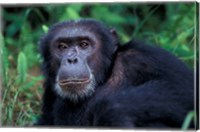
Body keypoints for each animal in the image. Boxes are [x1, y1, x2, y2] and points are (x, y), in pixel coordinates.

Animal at [35, 18, 194, 128]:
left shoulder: (146, 57)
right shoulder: (49, 89)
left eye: (84, 44)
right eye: (62, 47)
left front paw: (110, 110)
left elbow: (184, 88)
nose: (71, 59)